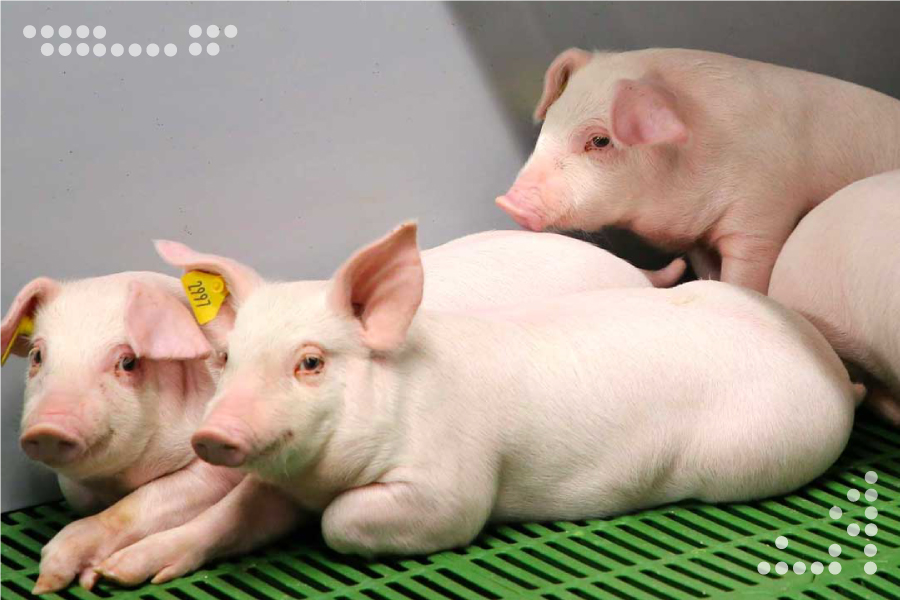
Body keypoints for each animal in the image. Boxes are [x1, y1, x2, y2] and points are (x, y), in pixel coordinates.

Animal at [9, 230, 679, 595]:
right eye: (38, 356)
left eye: (127, 361)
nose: (46, 428)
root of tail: (632, 270)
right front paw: (107, 577)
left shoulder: (212, 471)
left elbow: (151, 502)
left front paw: (65, 572)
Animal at [93, 222, 860, 586]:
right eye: (227, 358)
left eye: (310, 362)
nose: (212, 436)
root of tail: (830, 369)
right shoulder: (280, 479)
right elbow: (231, 517)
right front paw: (115, 575)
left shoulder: (447, 485)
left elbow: (345, 523)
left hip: (761, 452)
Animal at [497, 48, 900, 293]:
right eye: (549, 121)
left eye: (599, 140)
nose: (507, 202)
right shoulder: (698, 240)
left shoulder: (763, 215)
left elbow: (746, 276)